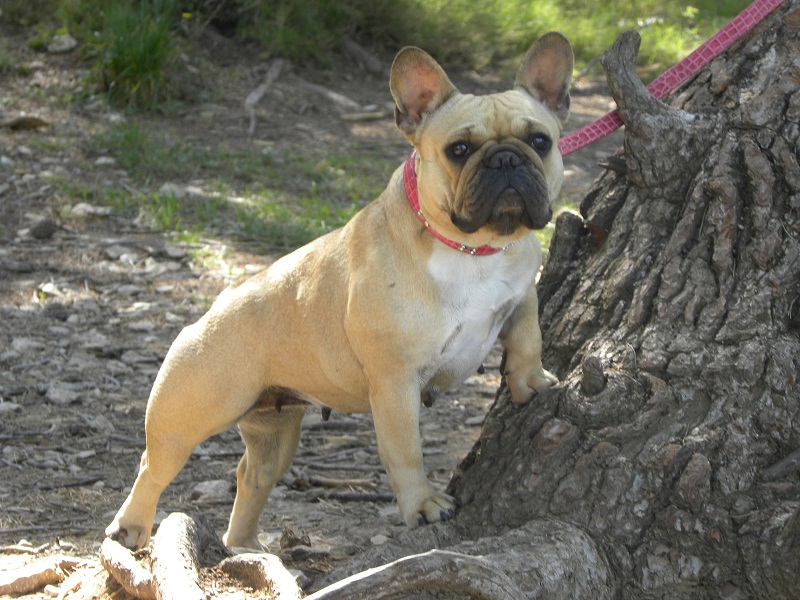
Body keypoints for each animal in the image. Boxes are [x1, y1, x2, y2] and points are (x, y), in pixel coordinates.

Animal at [106, 32, 572, 550]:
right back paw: (131, 526)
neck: (473, 248)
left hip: (276, 429)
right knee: (153, 466)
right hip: (191, 411)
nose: (506, 158)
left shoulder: (521, 292)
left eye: (540, 141)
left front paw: (533, 381)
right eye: (459, 148)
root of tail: (211, 310)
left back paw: (245, 547)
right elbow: (405, 451)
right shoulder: (394, 383)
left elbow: (528, 333)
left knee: (252, 474)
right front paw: (423, 505)